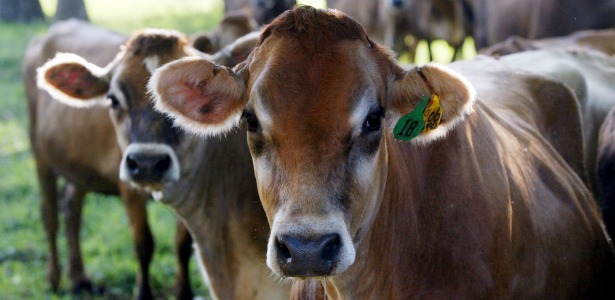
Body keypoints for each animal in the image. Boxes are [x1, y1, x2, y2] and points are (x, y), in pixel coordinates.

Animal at [22, 19, 194, 298]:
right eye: (113, 99)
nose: (148, 163)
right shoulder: (128, 184)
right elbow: (143, 243)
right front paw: (143, 293)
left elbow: (183, 243)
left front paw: (183, 292)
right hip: (39, 151)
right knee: (49, 213)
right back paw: (54, 279)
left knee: (71, 207)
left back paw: (79, 278)